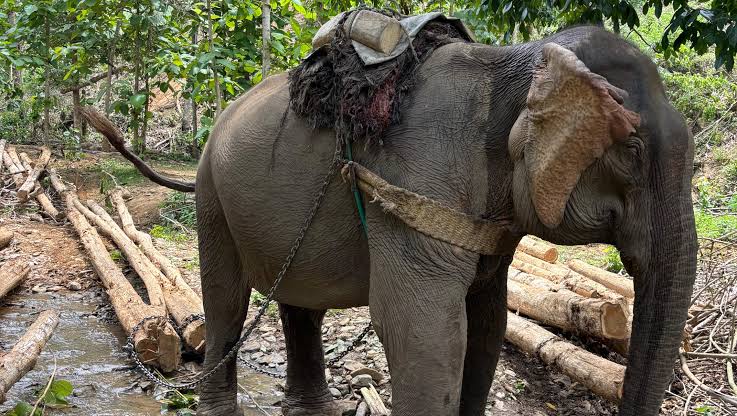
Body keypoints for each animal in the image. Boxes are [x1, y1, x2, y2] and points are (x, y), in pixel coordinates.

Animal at [109, 23, 696, 416]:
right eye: (632, 151)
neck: (516, 63)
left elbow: (487, 323)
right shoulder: (417, 178)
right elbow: (424, 328)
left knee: (299, 303)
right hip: (213, 193)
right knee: (226, 301)